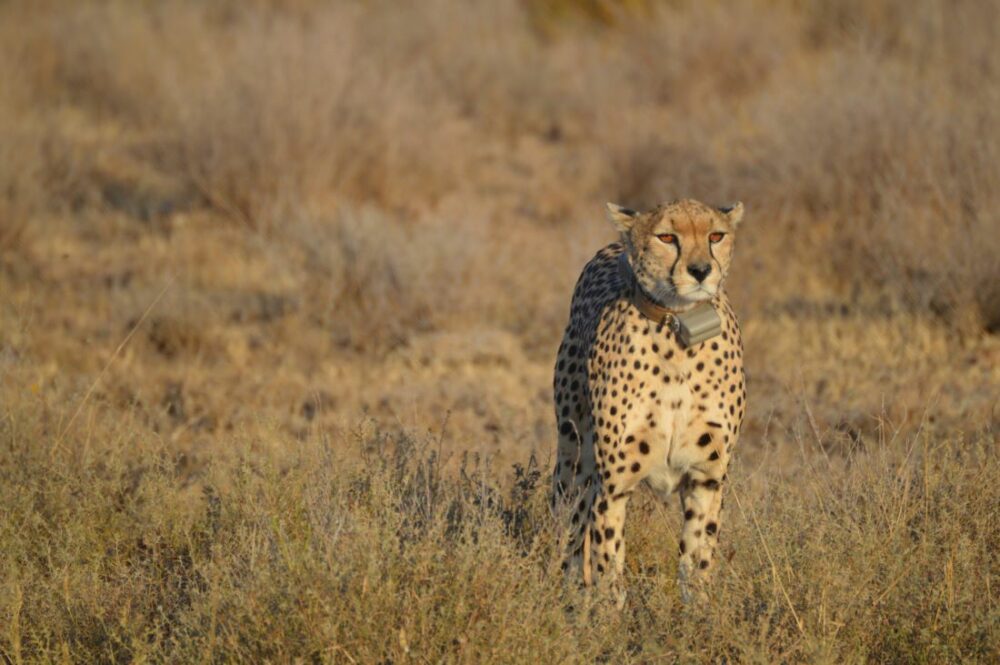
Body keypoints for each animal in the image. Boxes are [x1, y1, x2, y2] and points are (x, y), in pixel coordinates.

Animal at [552, 196, 748, 600]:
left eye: (716, 236)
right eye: (667, 237)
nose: (701, 270)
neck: (679, 329)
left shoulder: (707, 478)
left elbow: (697, 560)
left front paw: (698, 611)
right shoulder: (614, 485)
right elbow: (609, 566)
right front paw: (607, 612)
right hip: (573, 458)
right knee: (570, 528)